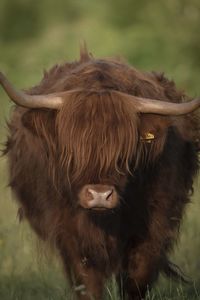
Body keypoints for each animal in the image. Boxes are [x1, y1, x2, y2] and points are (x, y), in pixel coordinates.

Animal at [0, 47, 200, 300]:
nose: (99, 196)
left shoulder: (155, 225)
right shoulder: (69, 232)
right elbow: (87, 281)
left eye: (124, 153)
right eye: (72, 151)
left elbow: (137, 278)